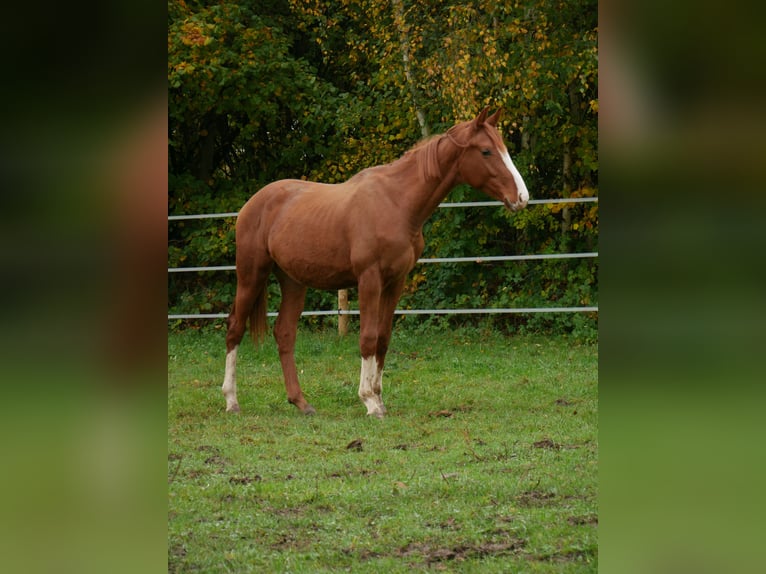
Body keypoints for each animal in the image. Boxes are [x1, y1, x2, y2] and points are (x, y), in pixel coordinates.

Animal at [225, 108, 532, 418]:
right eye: (486, 151)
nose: (522, 197)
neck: (397, 203)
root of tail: (253, 204)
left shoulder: (396, 281)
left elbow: (383, 338)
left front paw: (379, 396)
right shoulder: (369, 279)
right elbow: (368, 337)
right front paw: (369, 401)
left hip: (293, 281)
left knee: (285, 333)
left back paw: (301, 402)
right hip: (251, 274)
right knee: (235, 327)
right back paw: (231, 400)